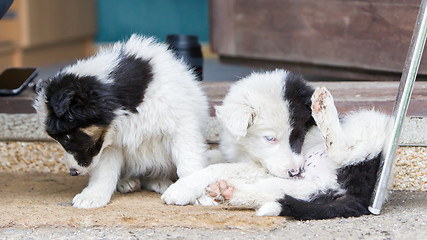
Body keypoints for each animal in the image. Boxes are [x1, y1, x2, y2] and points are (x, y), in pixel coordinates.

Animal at [34, 34, 211, 209]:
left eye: (66, 138)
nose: (72, 172)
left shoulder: (180, 126)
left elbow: (188, 162)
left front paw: (191, 191)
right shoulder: (108, 145)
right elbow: (104, 171)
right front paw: (93, 195)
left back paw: (159, 181)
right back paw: (128, 182)